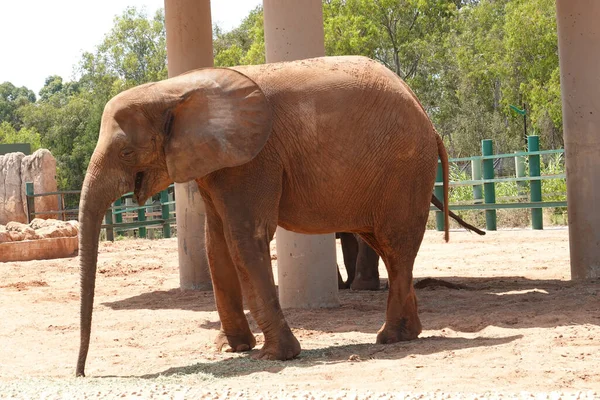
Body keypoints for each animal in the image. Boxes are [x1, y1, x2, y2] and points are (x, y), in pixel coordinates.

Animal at [74, 54, 450, 376]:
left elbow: (244, 238)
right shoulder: (218, 162)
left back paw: (390, 337)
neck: (171, 89)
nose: (81, 373)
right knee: (389, 249)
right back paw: (409, 333)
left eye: (126, 152)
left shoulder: (253, 160)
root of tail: (429, 120)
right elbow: (216, 244)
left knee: (396, 248)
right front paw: (232, 349)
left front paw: (274, 356)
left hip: (405, 172)